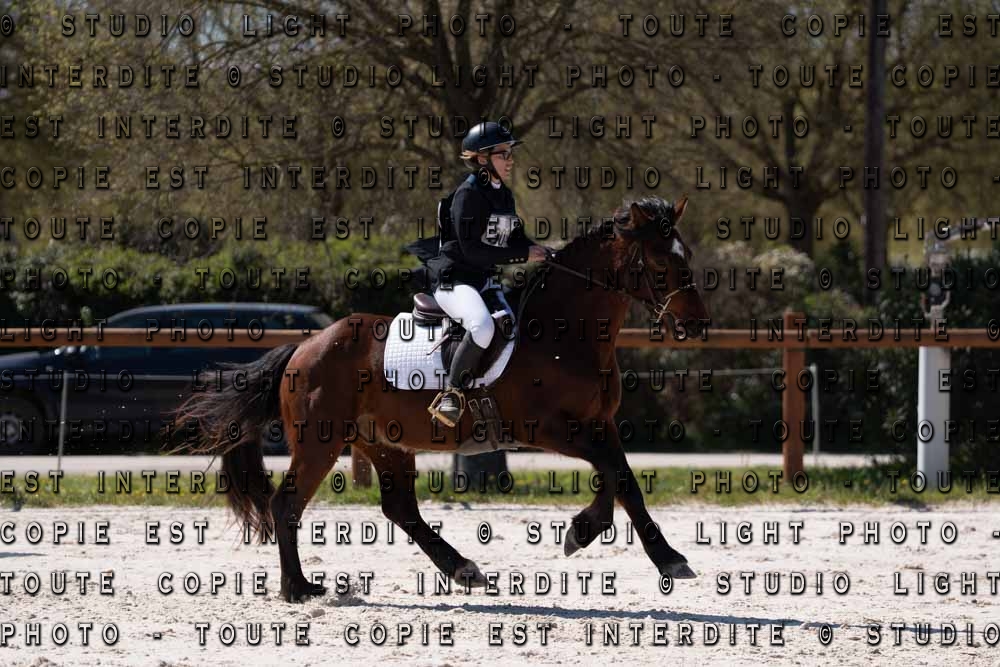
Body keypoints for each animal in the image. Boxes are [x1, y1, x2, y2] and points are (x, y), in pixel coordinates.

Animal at [173, 194, 711, 602]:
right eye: (661, 262)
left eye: (685, 254)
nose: (697, 325)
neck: (566, 333)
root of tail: (304, 347)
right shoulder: (551, 428)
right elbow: (617, 475)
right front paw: (658, 555)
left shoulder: (600, 424)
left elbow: (620, 478)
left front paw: (589, 532)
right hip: (319, 443)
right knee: (286, 504)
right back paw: (298, 588)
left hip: (383, 443)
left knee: (399, 509)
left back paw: (462, 569)